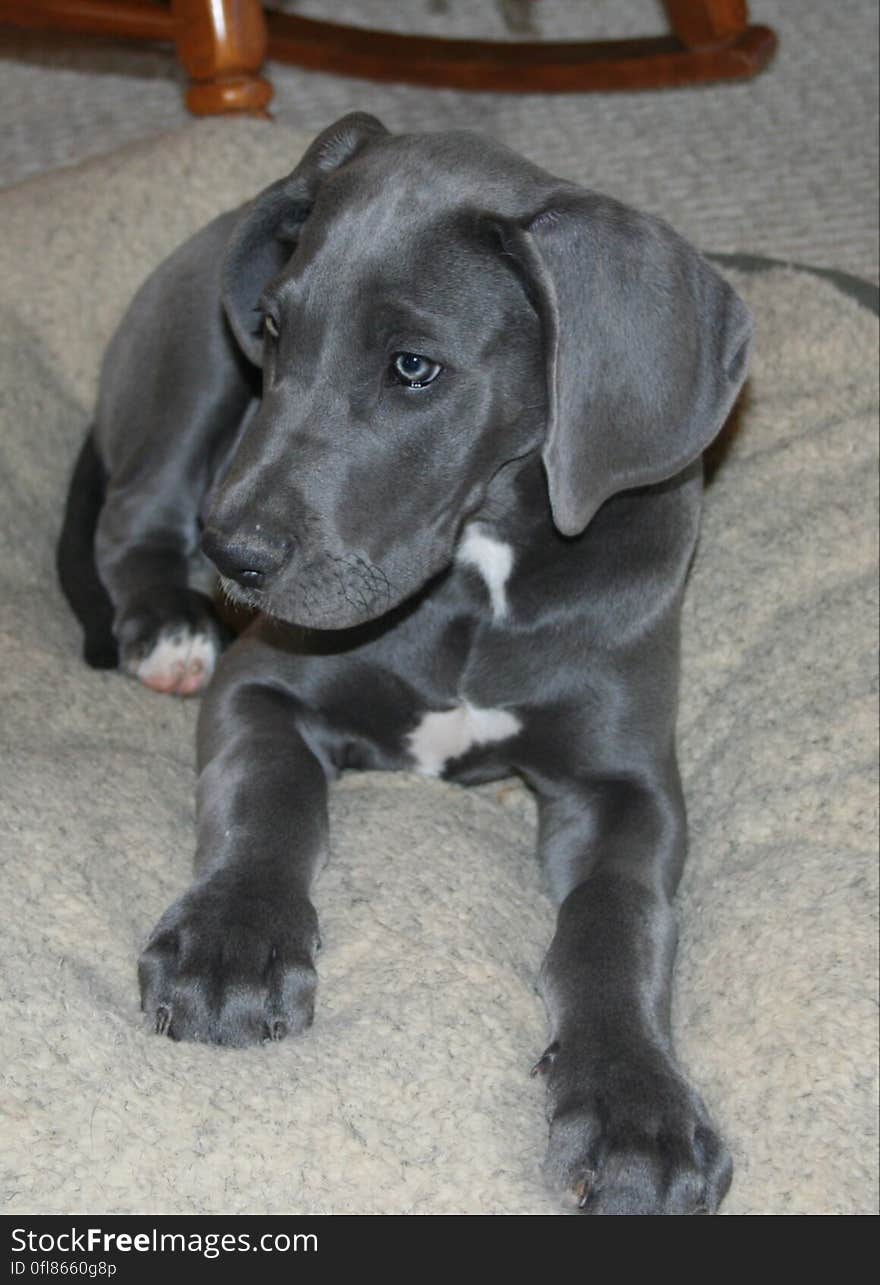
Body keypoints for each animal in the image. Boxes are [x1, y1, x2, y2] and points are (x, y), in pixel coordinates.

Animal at [58, 113, 750, 1213]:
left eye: (414, 367)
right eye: (273, 329)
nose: (234, 554)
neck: (481, 565)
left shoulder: (626, 782)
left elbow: (615, 918)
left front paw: (635, 1107)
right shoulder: (261, 684)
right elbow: (269, 798)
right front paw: (229, 943)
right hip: (188, 363)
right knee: (132, 515)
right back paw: (169, 627)